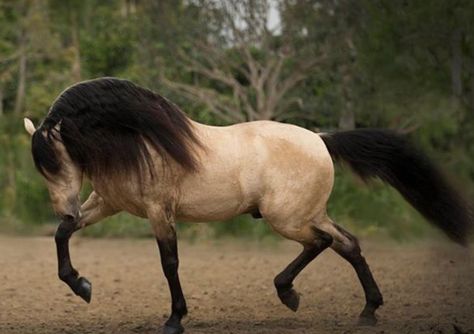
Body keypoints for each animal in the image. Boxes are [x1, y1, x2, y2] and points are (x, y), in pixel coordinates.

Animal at [24, 77, 472, 332]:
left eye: (57, 160)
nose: (65, 207)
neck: (138, 143)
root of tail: (320, 139)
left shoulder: (158, 212)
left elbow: (169, 263)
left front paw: (175, 319)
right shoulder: (105, 204)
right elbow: (62, 235)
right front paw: (81, 285)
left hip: (288, 218)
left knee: (325, 243)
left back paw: (292, 294)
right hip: (306, 214)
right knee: (347, 244)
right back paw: (365, 311)